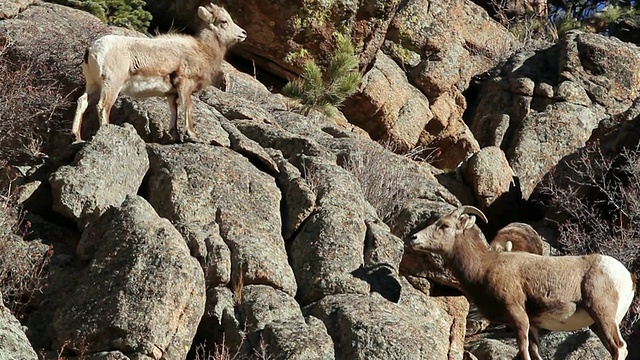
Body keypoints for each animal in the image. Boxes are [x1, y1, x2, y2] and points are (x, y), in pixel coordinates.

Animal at [71, 2, 246, 142]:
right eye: (224, 21)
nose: (243, 33)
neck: (203, 50)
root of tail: (92, 50)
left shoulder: (172, 95)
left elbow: (174, 112)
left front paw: (175, 136)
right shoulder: (185, 85)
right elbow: (187, 107)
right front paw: (193, 135)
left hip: (94, 85)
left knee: (82, 101)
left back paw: (77, 137)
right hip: (112, 85)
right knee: (102, 106)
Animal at [410, 205, 636, 360]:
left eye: (445, 225)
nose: (414, 238)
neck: (484, 266)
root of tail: (627, 277)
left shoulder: (518, 317)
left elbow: (524, 351)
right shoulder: (533, 324)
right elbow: (534, 353)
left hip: (603, 316)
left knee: (619, 348)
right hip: (599, 324)